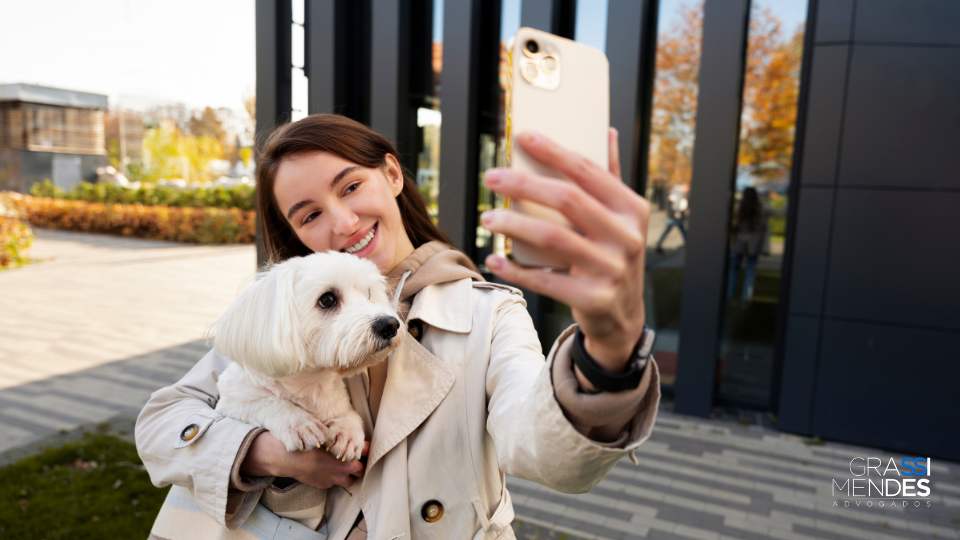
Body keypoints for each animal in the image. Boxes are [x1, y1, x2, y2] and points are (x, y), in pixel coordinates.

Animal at [213, 251, 402, 462]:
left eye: (369, 294)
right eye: (327, 299)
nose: (389, 325)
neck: (310, 383)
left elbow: (347, 413)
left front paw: (347, 431)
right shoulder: (230, 403)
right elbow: (263, 402)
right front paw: (299, 423)